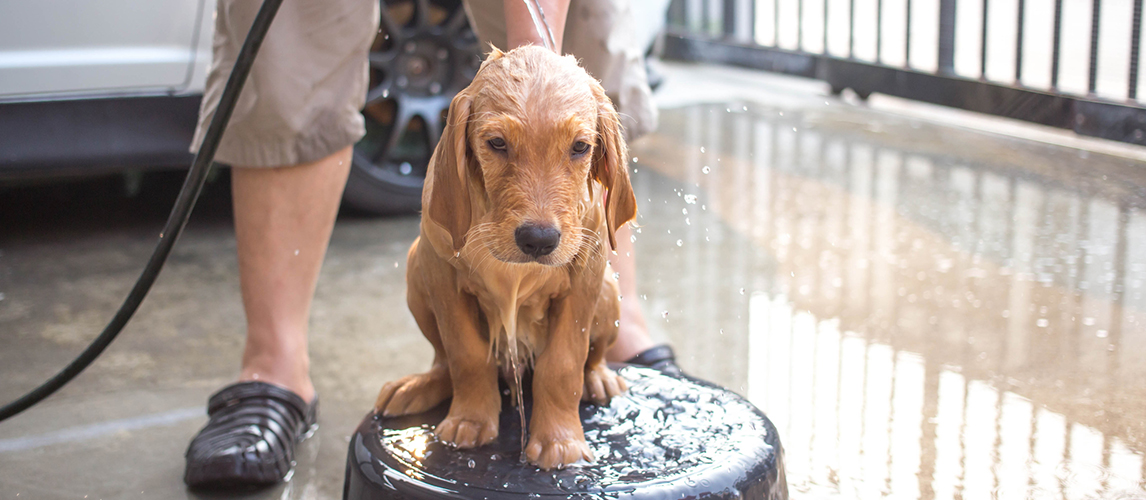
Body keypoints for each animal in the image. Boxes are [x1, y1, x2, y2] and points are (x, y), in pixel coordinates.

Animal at [378, 43, 641, 467]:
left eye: (580, 147)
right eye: (497, 143)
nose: (539, 240)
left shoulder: (584, 279)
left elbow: (563, 363)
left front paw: (558, 441)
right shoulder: (441, 273)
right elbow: (465, 354)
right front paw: (469, 421)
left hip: (607, 292)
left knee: (593, 357)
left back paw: (598, 378)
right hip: (416, 272)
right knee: (442, 360)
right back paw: (419, 385)